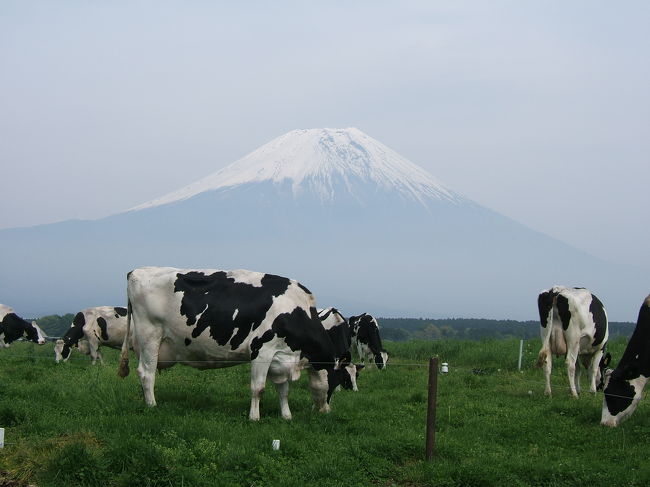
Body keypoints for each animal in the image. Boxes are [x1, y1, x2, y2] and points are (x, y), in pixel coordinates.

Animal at [120, 268, 354, 422]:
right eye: (339, 380)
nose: (325, 411)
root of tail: (136, 271)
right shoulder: (262, 350)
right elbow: (258, 388)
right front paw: (254, 418)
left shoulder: (281, 356)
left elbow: (283, 389)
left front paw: (286, 416)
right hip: (150, 336)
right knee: (146, 373)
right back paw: (152, 405)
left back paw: (145, 400)